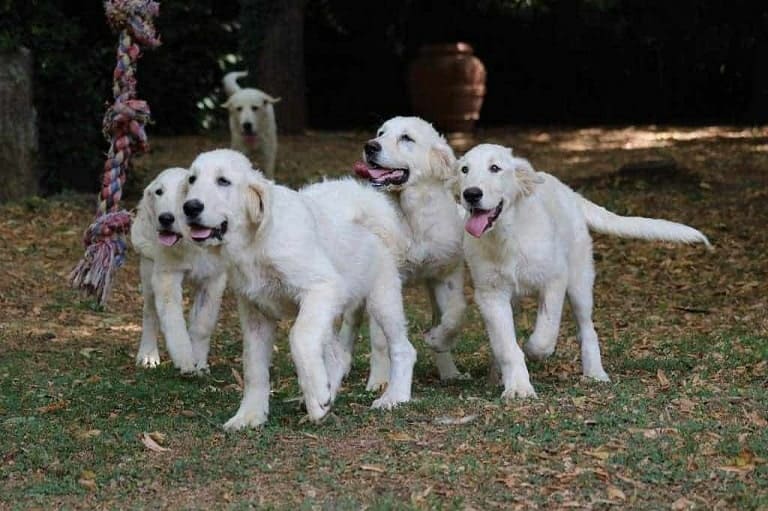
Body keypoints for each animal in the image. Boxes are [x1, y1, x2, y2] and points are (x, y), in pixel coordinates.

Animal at [130, 170, 226, 374]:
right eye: (159, 192)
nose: (166, 218)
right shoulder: (166, 277)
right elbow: (173, 321)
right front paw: (185, 360)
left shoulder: (214, 280)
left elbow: (203, 323)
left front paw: (199, 361)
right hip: (148, 266)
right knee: (150, 313)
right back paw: (148, 354)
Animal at [183, 150, 416, 430]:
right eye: (192, 179)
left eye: (223, 181)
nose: (190, 207)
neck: (255, 242)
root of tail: (369, 205)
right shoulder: (255, 311)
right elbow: (254, 367)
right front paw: (250, 415)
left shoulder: (322, 287)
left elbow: (298, 338)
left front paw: (315, 395)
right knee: (338, 355)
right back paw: (326, 396)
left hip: (381, 299)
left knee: (403, 349)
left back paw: (393, 396)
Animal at [350, 116, 468, 388]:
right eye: (380, 133)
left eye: (406, 138)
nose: (370, 146)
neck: (412, 218)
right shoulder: (384, 282)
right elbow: (380, 340)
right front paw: (379, 380)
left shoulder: (445, 274)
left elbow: (456, 314)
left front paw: (437, 340)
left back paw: (449, 371)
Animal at [452, 144, 712, 400]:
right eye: (464, 169)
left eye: (495, 168)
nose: (471, 194)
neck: (506, 235)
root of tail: (570, 193)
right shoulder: (490, 295)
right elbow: (506, 345)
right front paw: (518, 386)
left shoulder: (555, 279)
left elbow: (544, 336)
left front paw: (532, 352)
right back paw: (497, 374)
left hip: (580, 283)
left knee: (587, 329)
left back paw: (595, 373)